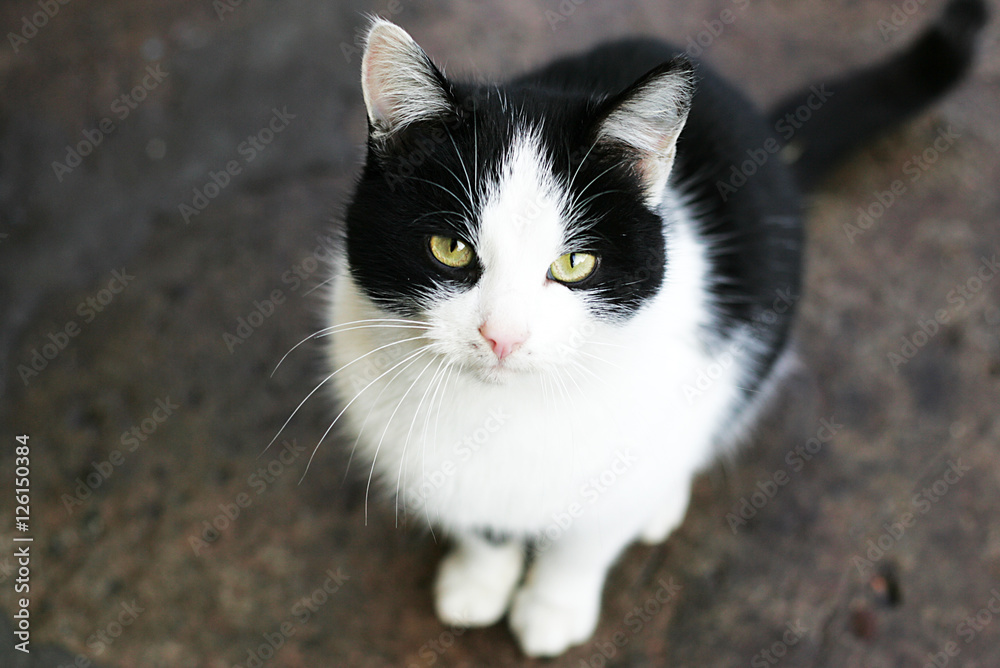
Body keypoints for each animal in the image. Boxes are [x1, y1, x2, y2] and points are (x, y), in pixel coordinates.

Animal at [320, 0, 984, 656]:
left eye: (575, 263)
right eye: (450, 248)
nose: (503, 336)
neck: (502, 413)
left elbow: (587, 540)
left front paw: (553, 608)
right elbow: (476, 520)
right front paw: (478, 580)